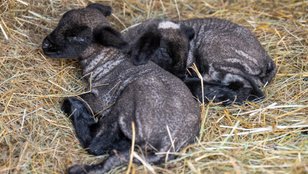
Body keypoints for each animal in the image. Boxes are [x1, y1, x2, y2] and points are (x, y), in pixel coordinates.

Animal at [41, 3, 200, 174]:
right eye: (60, 23)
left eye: (79, 37)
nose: (45, 44)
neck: (104, 59)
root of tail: (169, 145)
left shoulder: (103, 98)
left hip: (129, 99)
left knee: (97, 144)